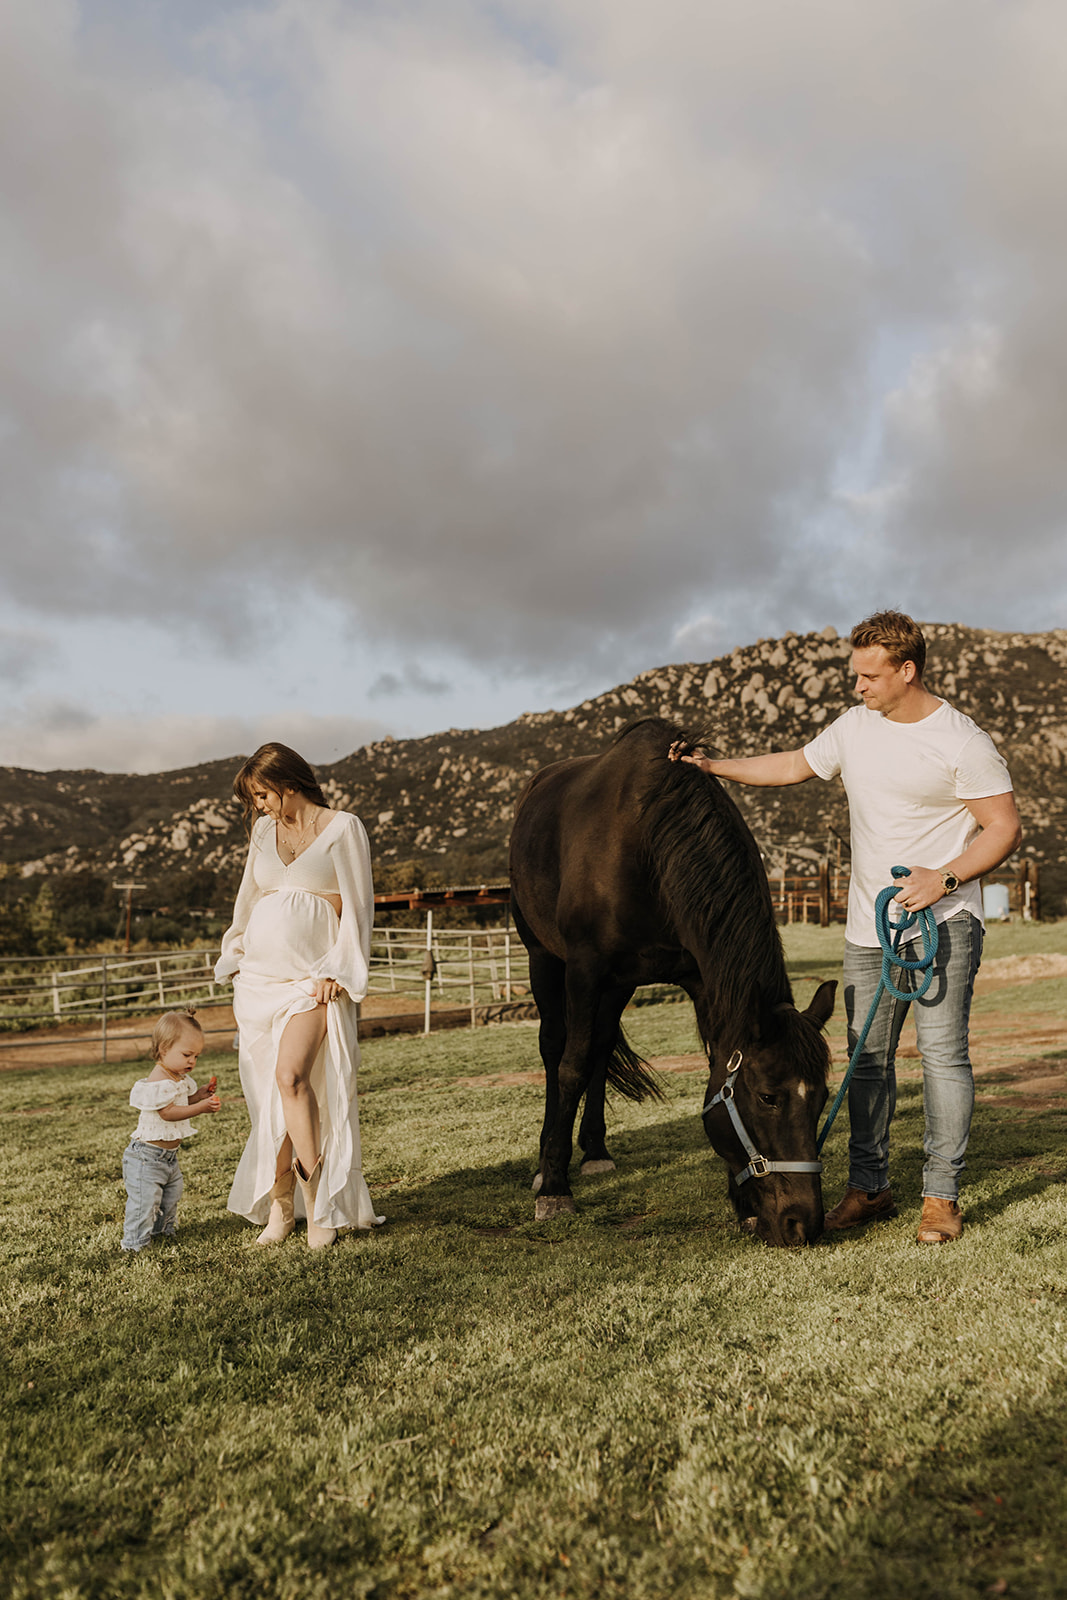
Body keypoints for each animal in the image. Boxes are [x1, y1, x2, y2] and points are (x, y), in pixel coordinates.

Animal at [511, 716, 838, 1248]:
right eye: (768, 1096)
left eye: (824, 1097)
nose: (802, 1224)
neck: (645, 842)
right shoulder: (584, 969)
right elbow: (571, 1068)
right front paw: (555, 1190)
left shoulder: (699, 979)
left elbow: (708, 1070)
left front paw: (743, 1206)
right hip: (544, 959)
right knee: (556, 1049)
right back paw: (547, 1165)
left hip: (619, 986)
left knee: (601, 1046)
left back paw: (595, 1151)